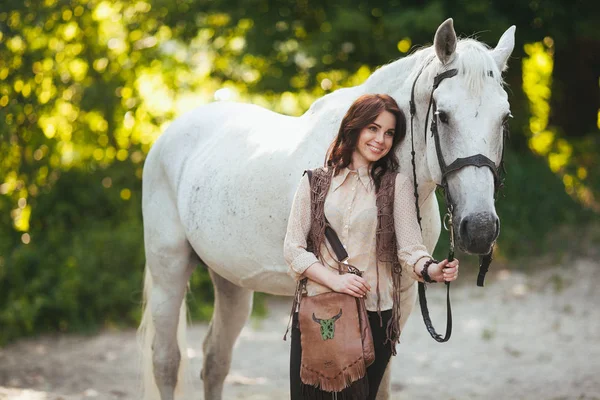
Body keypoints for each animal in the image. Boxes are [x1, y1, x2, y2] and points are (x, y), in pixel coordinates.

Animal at [139, 18, 516, 400]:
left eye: (504, 118)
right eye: (442, 116)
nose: (480, 228)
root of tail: (169, 134)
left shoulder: (402, 296)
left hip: (231, 280)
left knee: (215, 359)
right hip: (168, 271)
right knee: (166, 362)